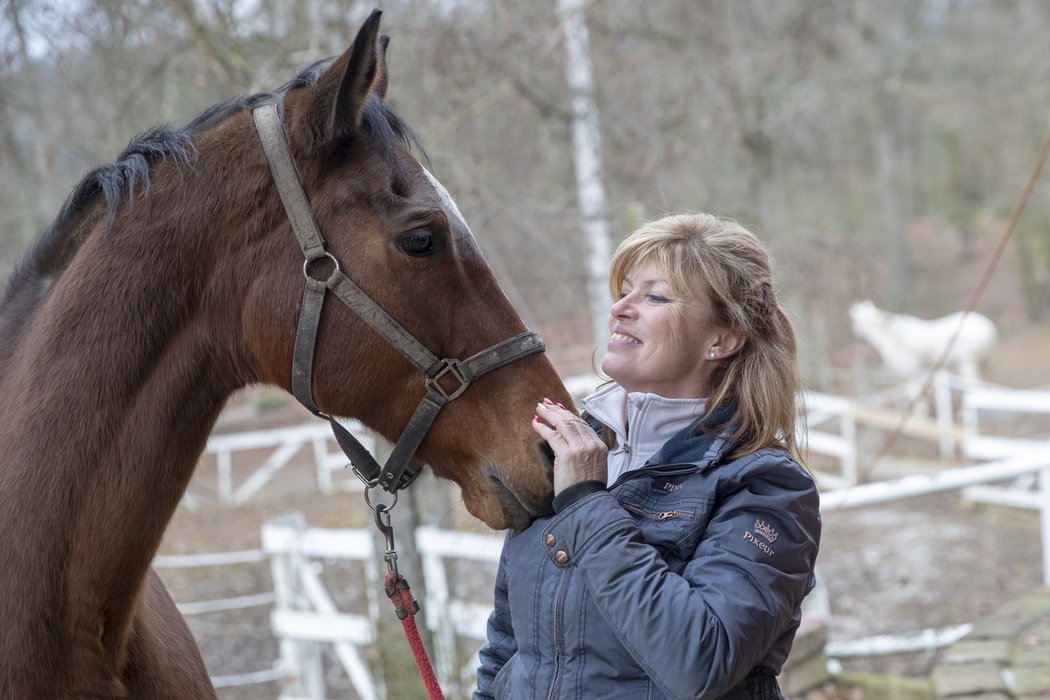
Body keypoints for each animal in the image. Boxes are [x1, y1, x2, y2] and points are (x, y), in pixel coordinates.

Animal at [848, 300, 995, 379]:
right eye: (855, 319)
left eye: (861, 319)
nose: (857, 333)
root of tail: (991, 329)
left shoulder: (911, 369)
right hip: (981, 362)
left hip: (968, 361)